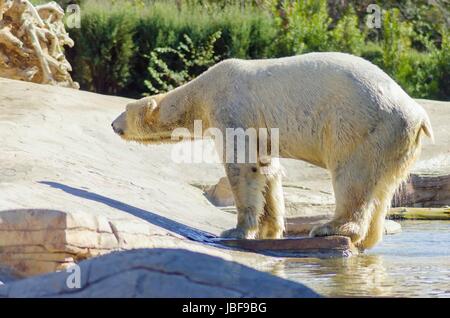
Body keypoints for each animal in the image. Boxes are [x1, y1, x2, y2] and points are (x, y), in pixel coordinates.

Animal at [112, 53, 432, 250]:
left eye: (124, 109)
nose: (113, 124)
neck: (203, 91)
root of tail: (419, 116)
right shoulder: (262, 130)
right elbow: (267, 170)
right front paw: (269, 229)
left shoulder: (231, 109)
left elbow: (241, 166)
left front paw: (236, 230)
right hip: (395, 142)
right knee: (382, 189)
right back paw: (367, 239)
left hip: (363, 126)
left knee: (351, 177)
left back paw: (330, 228)